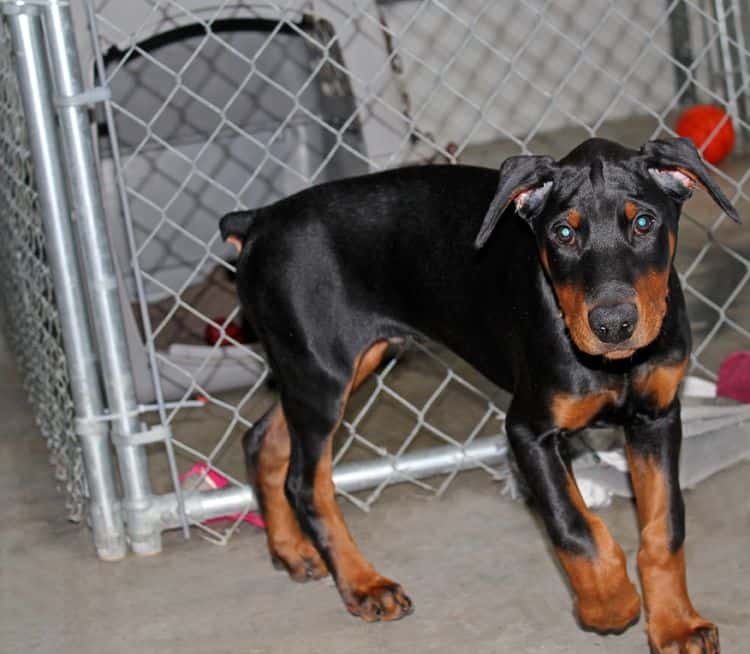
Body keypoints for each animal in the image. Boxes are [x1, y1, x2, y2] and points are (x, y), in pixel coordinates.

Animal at [222, 136, 740, 652]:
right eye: (563, 233)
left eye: (644, 222)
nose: (613, 326)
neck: (616, 365)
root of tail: (259, 220)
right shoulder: (528, 430)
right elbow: (573, 525)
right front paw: (609, 606)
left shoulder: (657, 416)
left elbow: (665, 527)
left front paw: (675, 624)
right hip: (321, 373)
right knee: (305, 482)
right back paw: (363, 584)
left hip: (337, 364)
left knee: (263, 439)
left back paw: (292, 551)